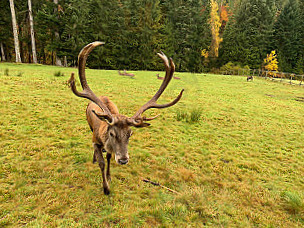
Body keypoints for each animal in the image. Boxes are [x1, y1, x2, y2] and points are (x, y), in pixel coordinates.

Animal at [68, 41, 183, 195]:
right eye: (111, 133)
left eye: (130, 133)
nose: (123, 160)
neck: (104, 140)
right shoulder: (95, 140)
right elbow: (101, 162)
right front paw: (106, 188)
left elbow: (109, 157)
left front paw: (109, 177)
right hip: (89, 125)